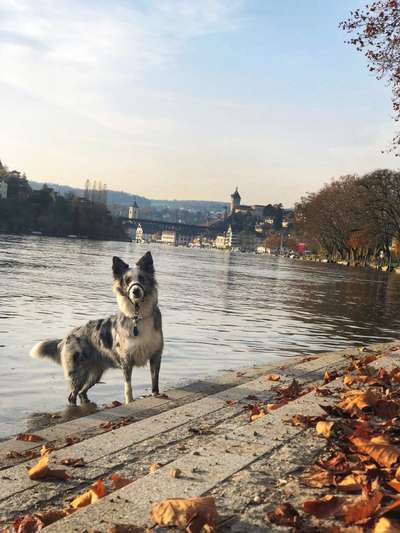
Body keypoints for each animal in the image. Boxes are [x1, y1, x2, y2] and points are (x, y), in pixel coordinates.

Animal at [30, 250, 163, 404]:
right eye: (127, 281)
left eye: (141, 278)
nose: (135, 291)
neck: (138, 316)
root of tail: (67, 336)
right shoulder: (126, 361)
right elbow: (128, 387)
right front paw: (129, 402)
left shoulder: (156, 356)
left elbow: (155, 381)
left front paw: (155, 395)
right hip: (78, 373)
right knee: (73, 395)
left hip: (95, 373)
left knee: (82, 391)